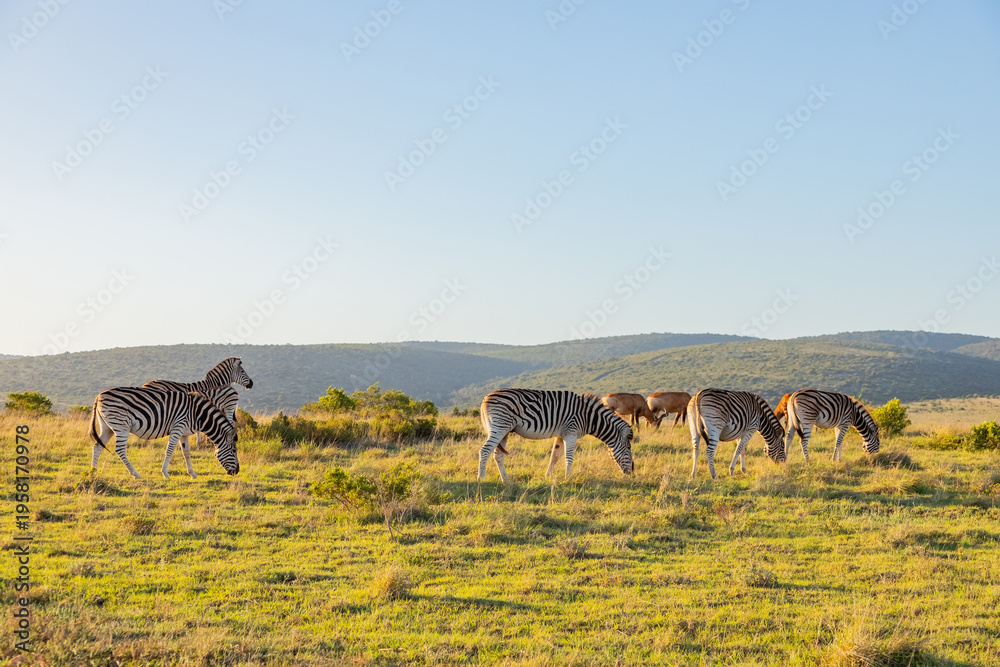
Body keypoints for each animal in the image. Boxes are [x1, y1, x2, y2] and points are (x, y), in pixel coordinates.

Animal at [90, 387, 239, 479]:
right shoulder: (177, 427)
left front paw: (192, 473)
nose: (236, 472)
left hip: (107, 427)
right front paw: (165, 473)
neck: (197, 414)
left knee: (97, 447)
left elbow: (187, 453)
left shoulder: (184, 433)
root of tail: (99, 395)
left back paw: (93, 472)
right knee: (120, 450)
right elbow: (170, 450)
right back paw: (135, 473)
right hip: (121, 426)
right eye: (233, 451)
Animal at [478, 388, 634, 484]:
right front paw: (568, 478)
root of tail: (486, 398)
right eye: (628, 449)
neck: (588, 417)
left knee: (498, 455)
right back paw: (481, 478)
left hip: (504, 431)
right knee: (485, 450)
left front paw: (548, 476)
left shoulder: (561, 435)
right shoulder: (571, 432)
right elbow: (569, 457)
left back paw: (506, 481)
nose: (632, 471)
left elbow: (555, 456)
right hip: (500, 426)